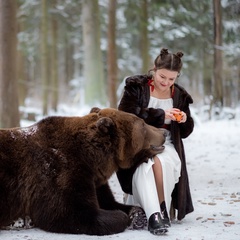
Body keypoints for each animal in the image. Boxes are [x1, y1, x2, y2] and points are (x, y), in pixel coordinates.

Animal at [0, 108, 165, 235]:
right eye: (143, 124)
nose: (164, 131)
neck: (92, 158)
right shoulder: (60, 171)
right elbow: (71, 213)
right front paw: (121, 217)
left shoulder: (96, 179)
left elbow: (109, 201)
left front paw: (137, 214)